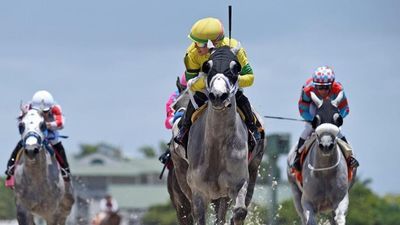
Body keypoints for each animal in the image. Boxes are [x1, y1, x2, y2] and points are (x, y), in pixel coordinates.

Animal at [288, 92, 356, 225]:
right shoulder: (307, 202)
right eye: (316, 119)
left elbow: (339, 218)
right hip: (294, 190)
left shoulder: (341, 200)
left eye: (338, 119)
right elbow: (309, 219)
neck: (325, 171)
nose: (326, 145)